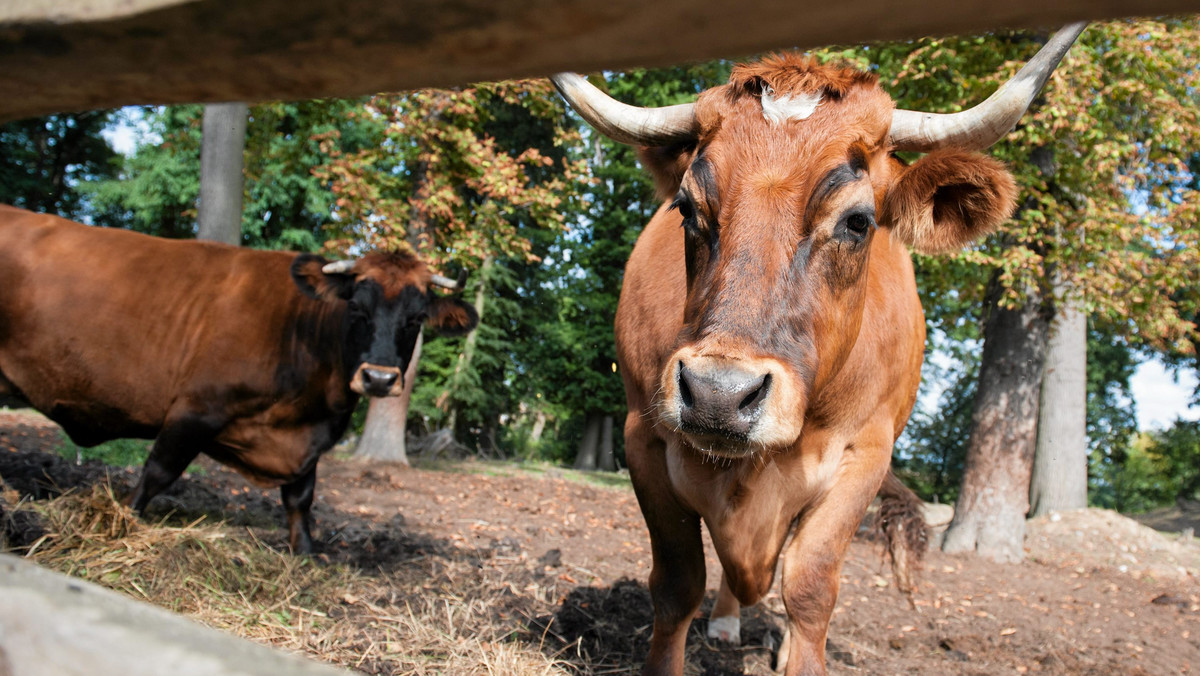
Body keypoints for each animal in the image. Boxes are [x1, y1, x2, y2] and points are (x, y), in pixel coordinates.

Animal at [0, 207, 477, 554]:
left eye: (416, 318)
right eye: (356, 307)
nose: (378, 378)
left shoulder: (306, 441)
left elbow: (300, 498)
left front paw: (305, 553)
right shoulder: (194, 409)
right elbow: (158, 471)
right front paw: (125, 519)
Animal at [552, 23, 1089, 672]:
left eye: (858, 221)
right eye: (686, 208)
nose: (718, 394)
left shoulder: (865, 454)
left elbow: (809, 586)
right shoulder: (643, 435)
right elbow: (677, 582)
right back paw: (727, 622)